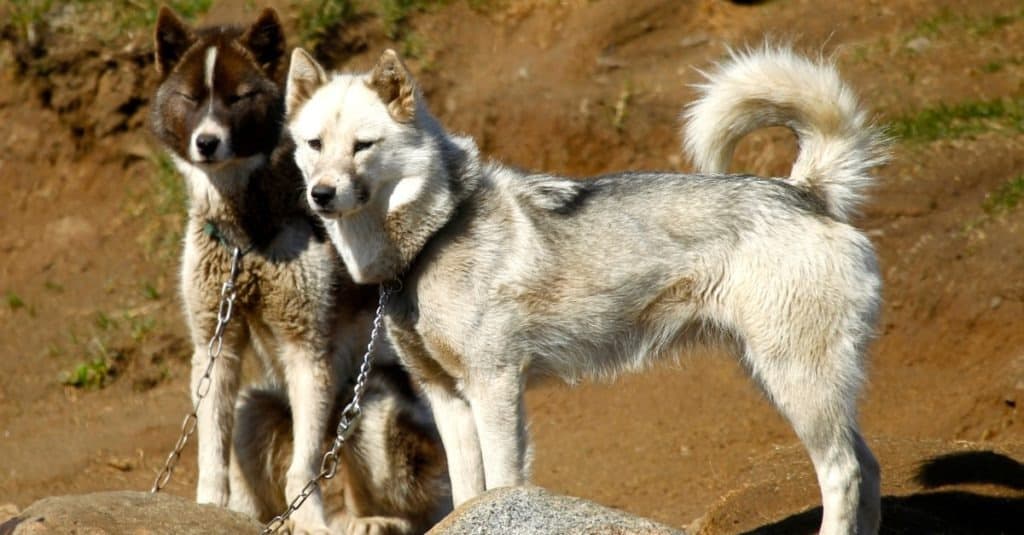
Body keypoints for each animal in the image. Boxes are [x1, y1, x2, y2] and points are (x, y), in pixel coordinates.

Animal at [151, 7, 452, 528]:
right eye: (190, 98)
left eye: (238, 97)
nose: (206, 142)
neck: (245, 238)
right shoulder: (215, 345)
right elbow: (211, 452)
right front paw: (207, 509)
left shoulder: (307, 349)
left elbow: (304, 467)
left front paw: (310, 520)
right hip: (255, 411)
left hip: (372, 407)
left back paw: (367, 522)